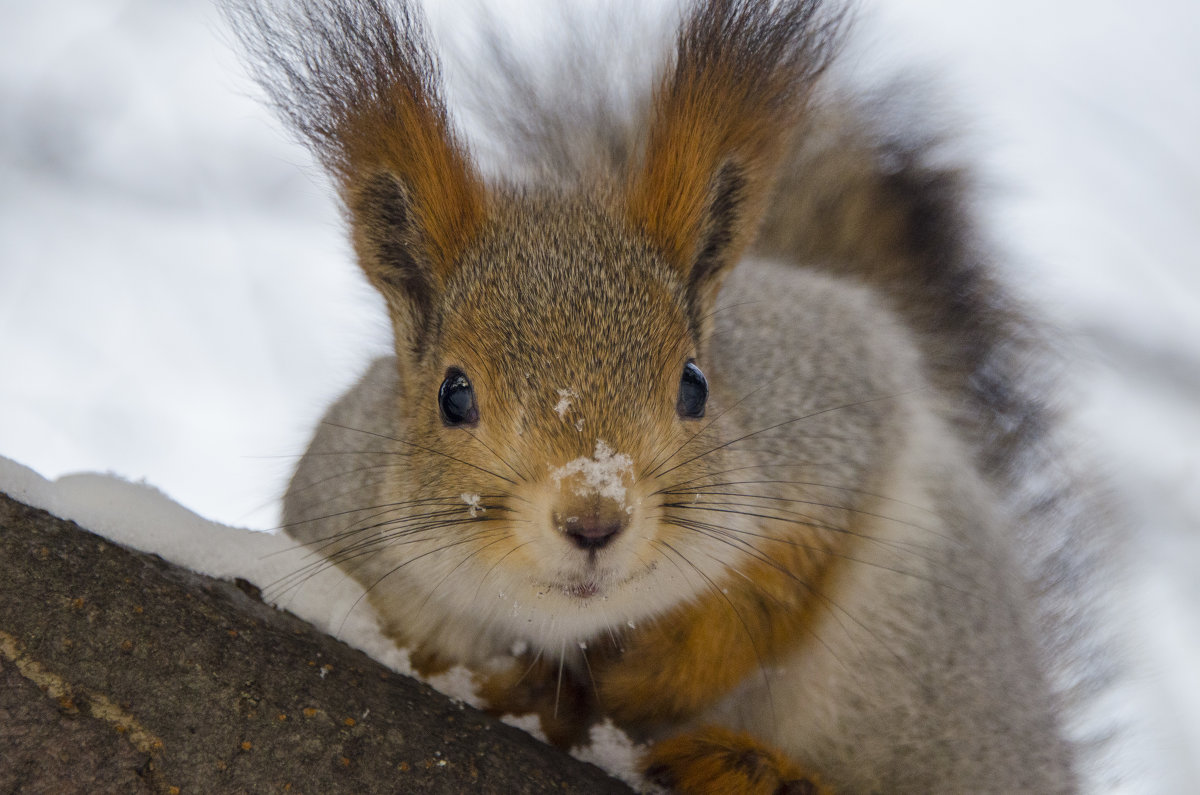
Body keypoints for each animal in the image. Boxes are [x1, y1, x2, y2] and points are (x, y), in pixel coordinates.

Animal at [223, 0, 1104, 792]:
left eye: (695, 384)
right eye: (453, 394)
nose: (594, 518)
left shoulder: (838, 392)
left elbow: (779, 576)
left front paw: (658, 666)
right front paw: (520, 685)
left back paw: (757, 769)